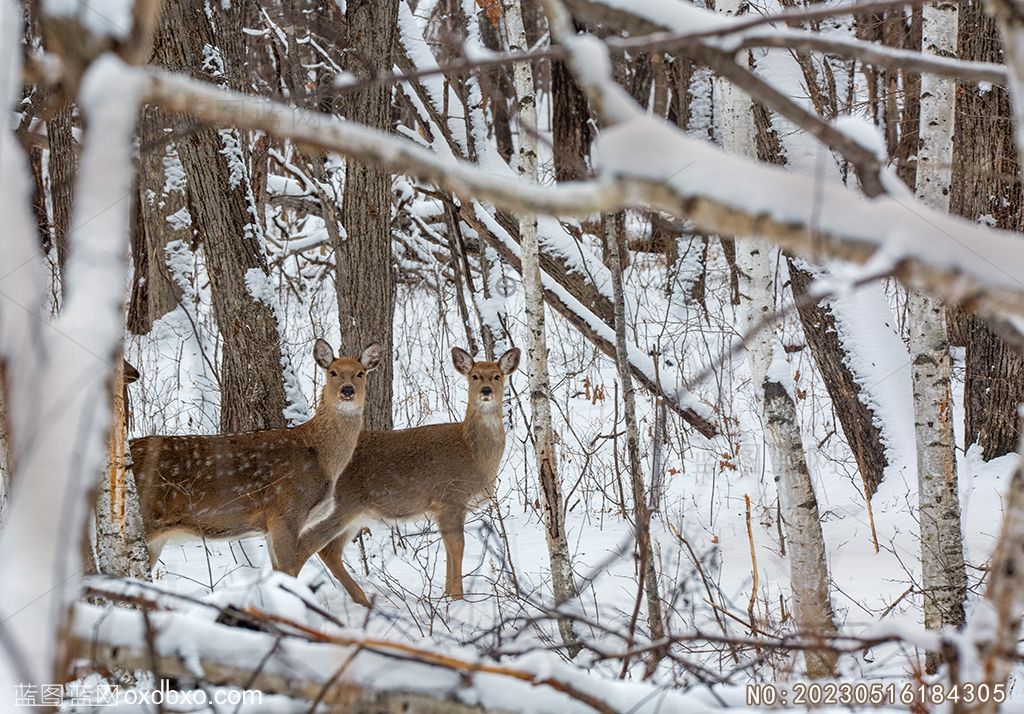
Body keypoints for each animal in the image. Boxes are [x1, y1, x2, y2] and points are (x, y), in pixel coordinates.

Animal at [129, 336, 380, 577]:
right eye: (332, 372)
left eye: (360, 373)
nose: (347, 390)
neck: (320, 456)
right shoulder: (284, 511)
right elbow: (288, 572)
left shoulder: (270, 525)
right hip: (143, 521)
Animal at [294, 348, 520, 602]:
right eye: (475, 376)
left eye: (497, 376)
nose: (486, 391)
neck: (474, 455)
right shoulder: (450, 498)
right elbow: (457, 548)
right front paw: (458, 599)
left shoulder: (442, 508)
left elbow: (449, 549)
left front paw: (446, 597)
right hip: (340, 507)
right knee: (308, 547)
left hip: (355, 514)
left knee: (329, 551)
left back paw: (362, 600)